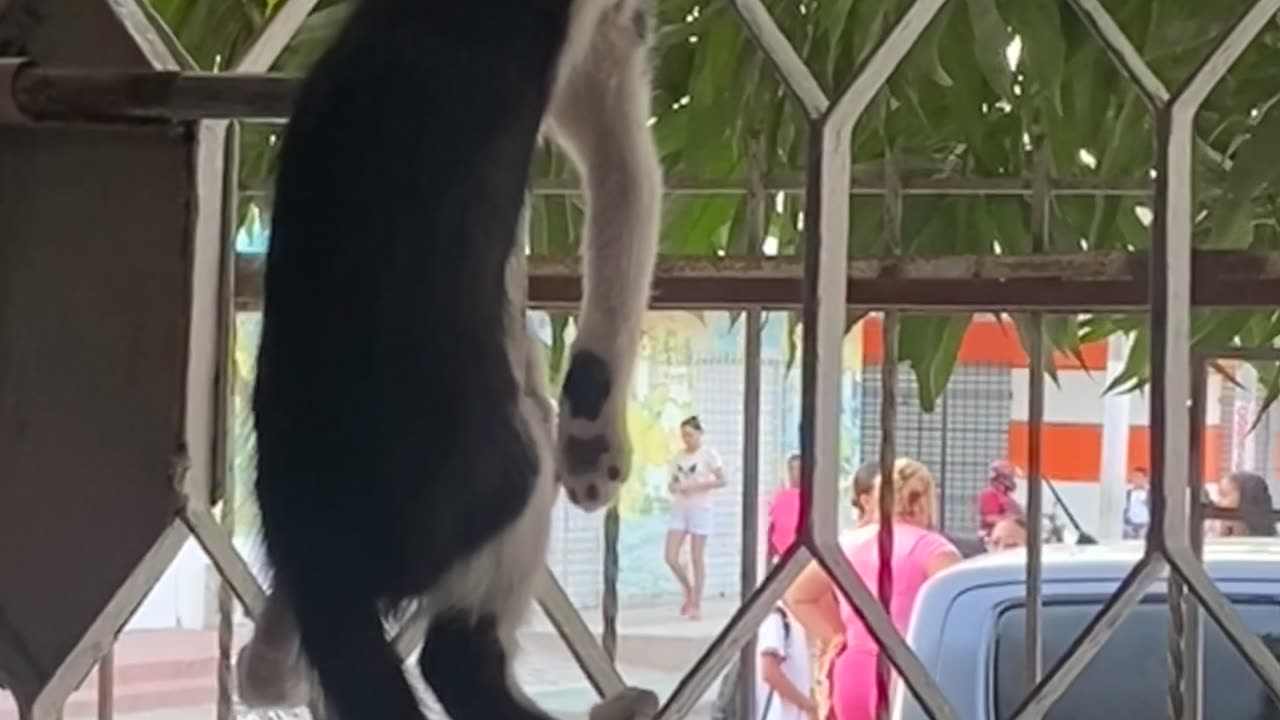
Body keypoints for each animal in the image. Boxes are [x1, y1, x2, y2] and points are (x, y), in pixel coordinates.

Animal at [235, 0, 665, 712]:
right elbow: (627, 177)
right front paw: (596, 439)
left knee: (274, 670)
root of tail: (312, 525)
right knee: (455, 655)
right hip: (506, 470)